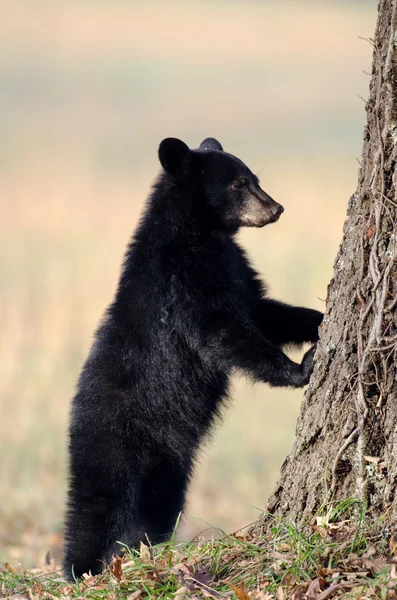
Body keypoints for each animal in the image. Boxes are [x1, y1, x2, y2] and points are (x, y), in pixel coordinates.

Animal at [62, 138, 322, 580]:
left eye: (254, 178)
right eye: (237, 184)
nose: (276, 208)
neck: (201, 234)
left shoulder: (234, 266)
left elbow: (263, 310)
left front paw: (321, 320)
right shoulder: (183, 279)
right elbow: (223, 331)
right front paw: (301, 368)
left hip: (168, 464)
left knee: (156, 511)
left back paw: (144, 554)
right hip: (109, 439)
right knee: (96, 504)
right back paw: (80, 571)